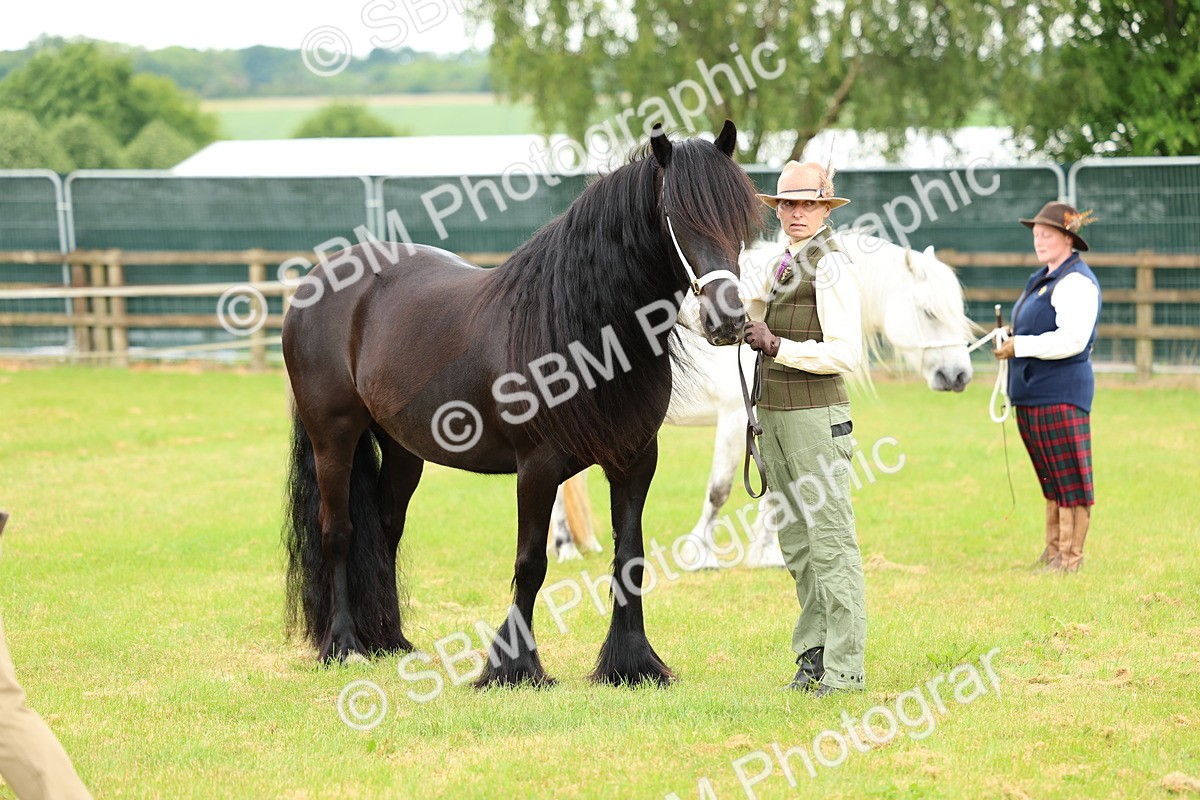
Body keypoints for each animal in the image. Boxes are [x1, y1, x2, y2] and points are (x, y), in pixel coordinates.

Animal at [282, 121, 762, 688]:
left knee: (385, 530)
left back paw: (391, 640)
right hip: (332, 437)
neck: (583, 328)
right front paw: (512, 667)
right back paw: (345, 646)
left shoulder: (635, 460)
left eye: (740, 220)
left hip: (401, 449)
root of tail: (320, 279)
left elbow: (630, 558)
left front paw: (631, 663)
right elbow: (531, 562)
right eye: (677, 218)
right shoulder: (537, 466)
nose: (728, 321)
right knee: (338, 532)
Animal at [548, 232, 976, 566]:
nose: (959, 375)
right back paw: (565, 548)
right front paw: (698, 554)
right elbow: (719, 490)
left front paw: (766, 553)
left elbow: (777, 493)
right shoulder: (735, 418)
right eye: (929, 312)